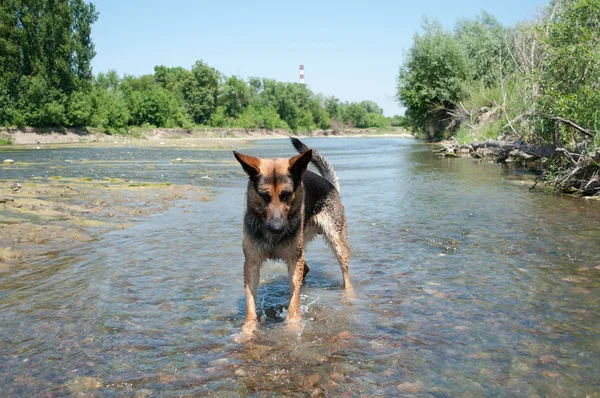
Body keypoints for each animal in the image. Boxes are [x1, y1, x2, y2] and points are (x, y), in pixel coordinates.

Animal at [231, 138, 352, 328]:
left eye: (286, 194)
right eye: (264, 196)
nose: (277, 228)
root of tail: (330, 184)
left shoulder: (294, 261)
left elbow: (294, 302)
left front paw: (293, 326)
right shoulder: (252, 264)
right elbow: (250, 305)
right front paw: (248, 329)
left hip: (337, 243)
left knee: (345, 274)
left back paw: (349, 296)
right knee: (306, 269)